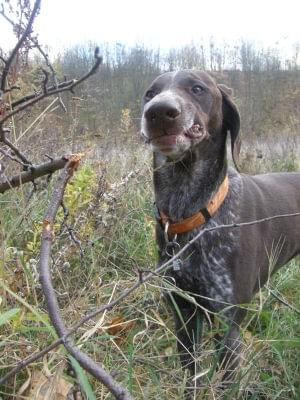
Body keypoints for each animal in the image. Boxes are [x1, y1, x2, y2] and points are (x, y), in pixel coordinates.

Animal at [141, 70, 300, 396]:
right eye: (150, 93)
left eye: (197, 88)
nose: (158, 112)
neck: (193, 215)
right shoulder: (184, 316)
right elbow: (191, 376)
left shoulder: (228, 327)